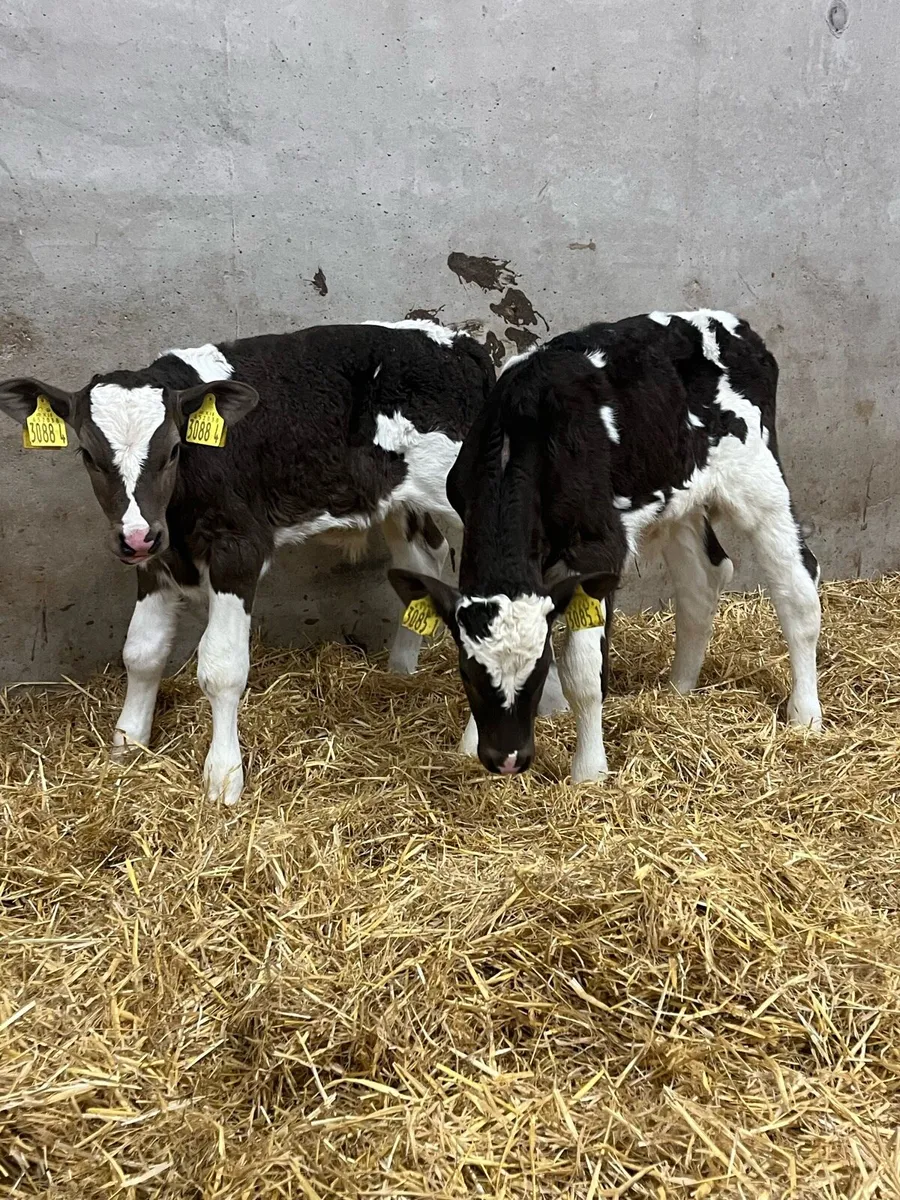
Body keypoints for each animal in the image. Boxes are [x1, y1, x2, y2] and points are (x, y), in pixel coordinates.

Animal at [1, 319, 506, 803]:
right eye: (88, 454)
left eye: (173, 449)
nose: (138, 537)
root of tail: (462, 343)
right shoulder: (155, 558)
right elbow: (141, 652)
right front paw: (127, 744)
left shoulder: (238, 549)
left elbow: (222, 668)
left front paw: (223, 777)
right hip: (399, 501)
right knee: (426, 560)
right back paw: (401, 672)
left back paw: (481, 739)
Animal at [388, 310, 822, 780]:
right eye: (467, 674)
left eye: (538, 673)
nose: (506, 758)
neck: (520, 433)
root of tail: (735, 326)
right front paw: (470, 743)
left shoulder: (598, 547)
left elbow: (584, 673)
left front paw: (589, 771)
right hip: (679, 497)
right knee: (702, 582)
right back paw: (678, 690)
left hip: (759, 479)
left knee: (797, 589)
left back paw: (805, 714)